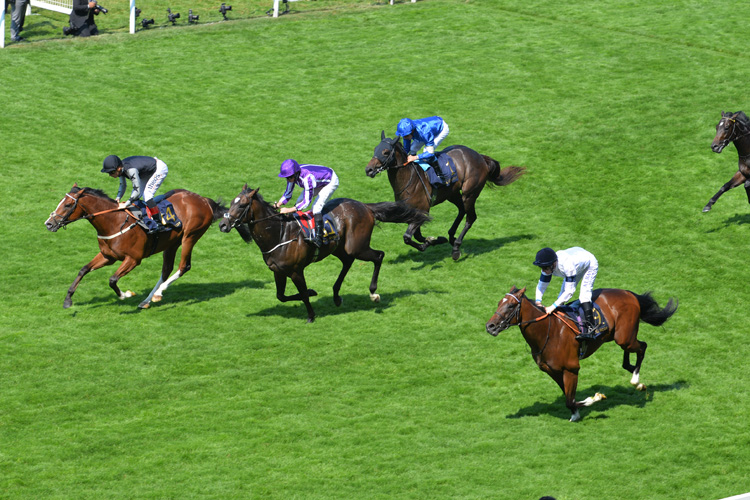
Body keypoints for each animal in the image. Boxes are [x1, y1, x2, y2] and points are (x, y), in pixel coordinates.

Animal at [43, 185, 225, 308]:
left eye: (67, 205)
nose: (49, 224)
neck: (114, 223)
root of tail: (204, 200)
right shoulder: (108, 256)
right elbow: (83, 269)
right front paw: (68, 299)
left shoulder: (133, 259)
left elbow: (112, 280)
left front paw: (125, 295)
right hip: (172, 242)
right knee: (166, 270)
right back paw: (146, 300)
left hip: (190, 236)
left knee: (184, 266)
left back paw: (158, 293)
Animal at [219, 186, 428, 322]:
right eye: (231, 202)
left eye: (242, 205)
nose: (222, 224)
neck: (279, 234)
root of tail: (365, 206)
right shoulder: (278, 271)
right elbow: (281, 296)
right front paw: (313, 293)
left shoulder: (296, 271)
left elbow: (303, 294)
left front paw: (311, 314)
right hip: (340, 248)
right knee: (348, 262)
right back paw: (336, 295)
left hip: (356, 246)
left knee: (379, 256)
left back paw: (373, 292)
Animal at [368, 131, 524, 260]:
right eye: (375, 149)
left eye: (386, 152)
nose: (368, 169)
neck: (410, 178)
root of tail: (480, 156)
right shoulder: (412, 213)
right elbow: (417, 235)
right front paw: (433, 240)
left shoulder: (422, 210)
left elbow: (408, 237)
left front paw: (428, 243)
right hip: (452, 193)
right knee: (461, 210)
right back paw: (451, 237)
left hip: (469, 193)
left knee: (470, 217)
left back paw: (456, 247)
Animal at [484, 286, 680, 422]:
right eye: (499, 303)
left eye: (510, 305)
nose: (490, 326)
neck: (547, 332)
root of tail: (628, 293)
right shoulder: (553, 371)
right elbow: (568, 397)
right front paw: (576, 414)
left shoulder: (571, 369)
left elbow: (570, 400)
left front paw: (595, 398)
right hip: (620, 336)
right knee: (630, 355)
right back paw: (633, 373)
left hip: (624, 338)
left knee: (642, 347)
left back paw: (636, 381)